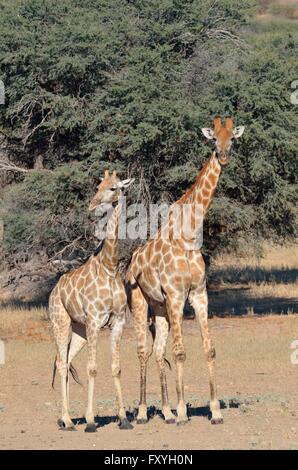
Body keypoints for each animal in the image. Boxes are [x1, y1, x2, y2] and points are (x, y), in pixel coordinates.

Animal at [48, 170, 134, 434]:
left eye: (114, 188)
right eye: (98, 186)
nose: (92, 206)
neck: (110, 267)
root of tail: (53, 291)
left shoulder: (117, 322)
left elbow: (116, 367)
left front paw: (123, 418)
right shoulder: (95, 321)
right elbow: (93, 368)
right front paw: (90, 421)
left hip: (79, 330)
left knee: (65, 360)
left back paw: (63, 418)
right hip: (61, 323)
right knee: (61, 363)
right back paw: (67, 421)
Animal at [125, 115, 244, 424]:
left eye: (232, 138)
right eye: (213, 139)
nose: (224, 156)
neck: (189, 234)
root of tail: (129, 264)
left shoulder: (199, 294)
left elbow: (209, 350)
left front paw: (215, 411)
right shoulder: (177, 295)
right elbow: (180, 353)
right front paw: (182, 412)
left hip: (161, 308)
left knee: (157, 351)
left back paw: (165, 412)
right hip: (140, 302)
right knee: (142, 351)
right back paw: (142, 412)